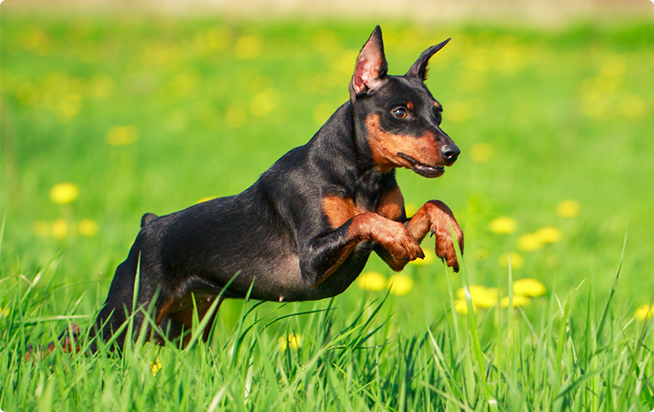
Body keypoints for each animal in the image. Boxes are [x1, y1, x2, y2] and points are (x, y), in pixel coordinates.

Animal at [92, 25, 464, 348]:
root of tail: (149, 225)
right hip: (126, 318)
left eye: (438, 113)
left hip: (183, 324)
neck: (363, 176)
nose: (453, 152)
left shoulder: (393, 257)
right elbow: (362, 219)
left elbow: (432, 206)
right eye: (400, 112)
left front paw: (449, 237)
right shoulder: (311, 261)